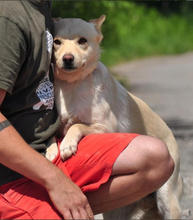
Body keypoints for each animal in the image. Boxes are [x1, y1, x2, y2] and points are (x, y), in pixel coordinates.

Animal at [46, 14, 183, 219]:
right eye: (56, 42)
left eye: (82, 41)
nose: (67, 58)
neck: (72, 85)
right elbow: (51, 134)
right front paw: (51, 149)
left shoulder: (105, 127)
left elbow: (76, 125)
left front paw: (67, 145)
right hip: (116, 211)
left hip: (167, 201)